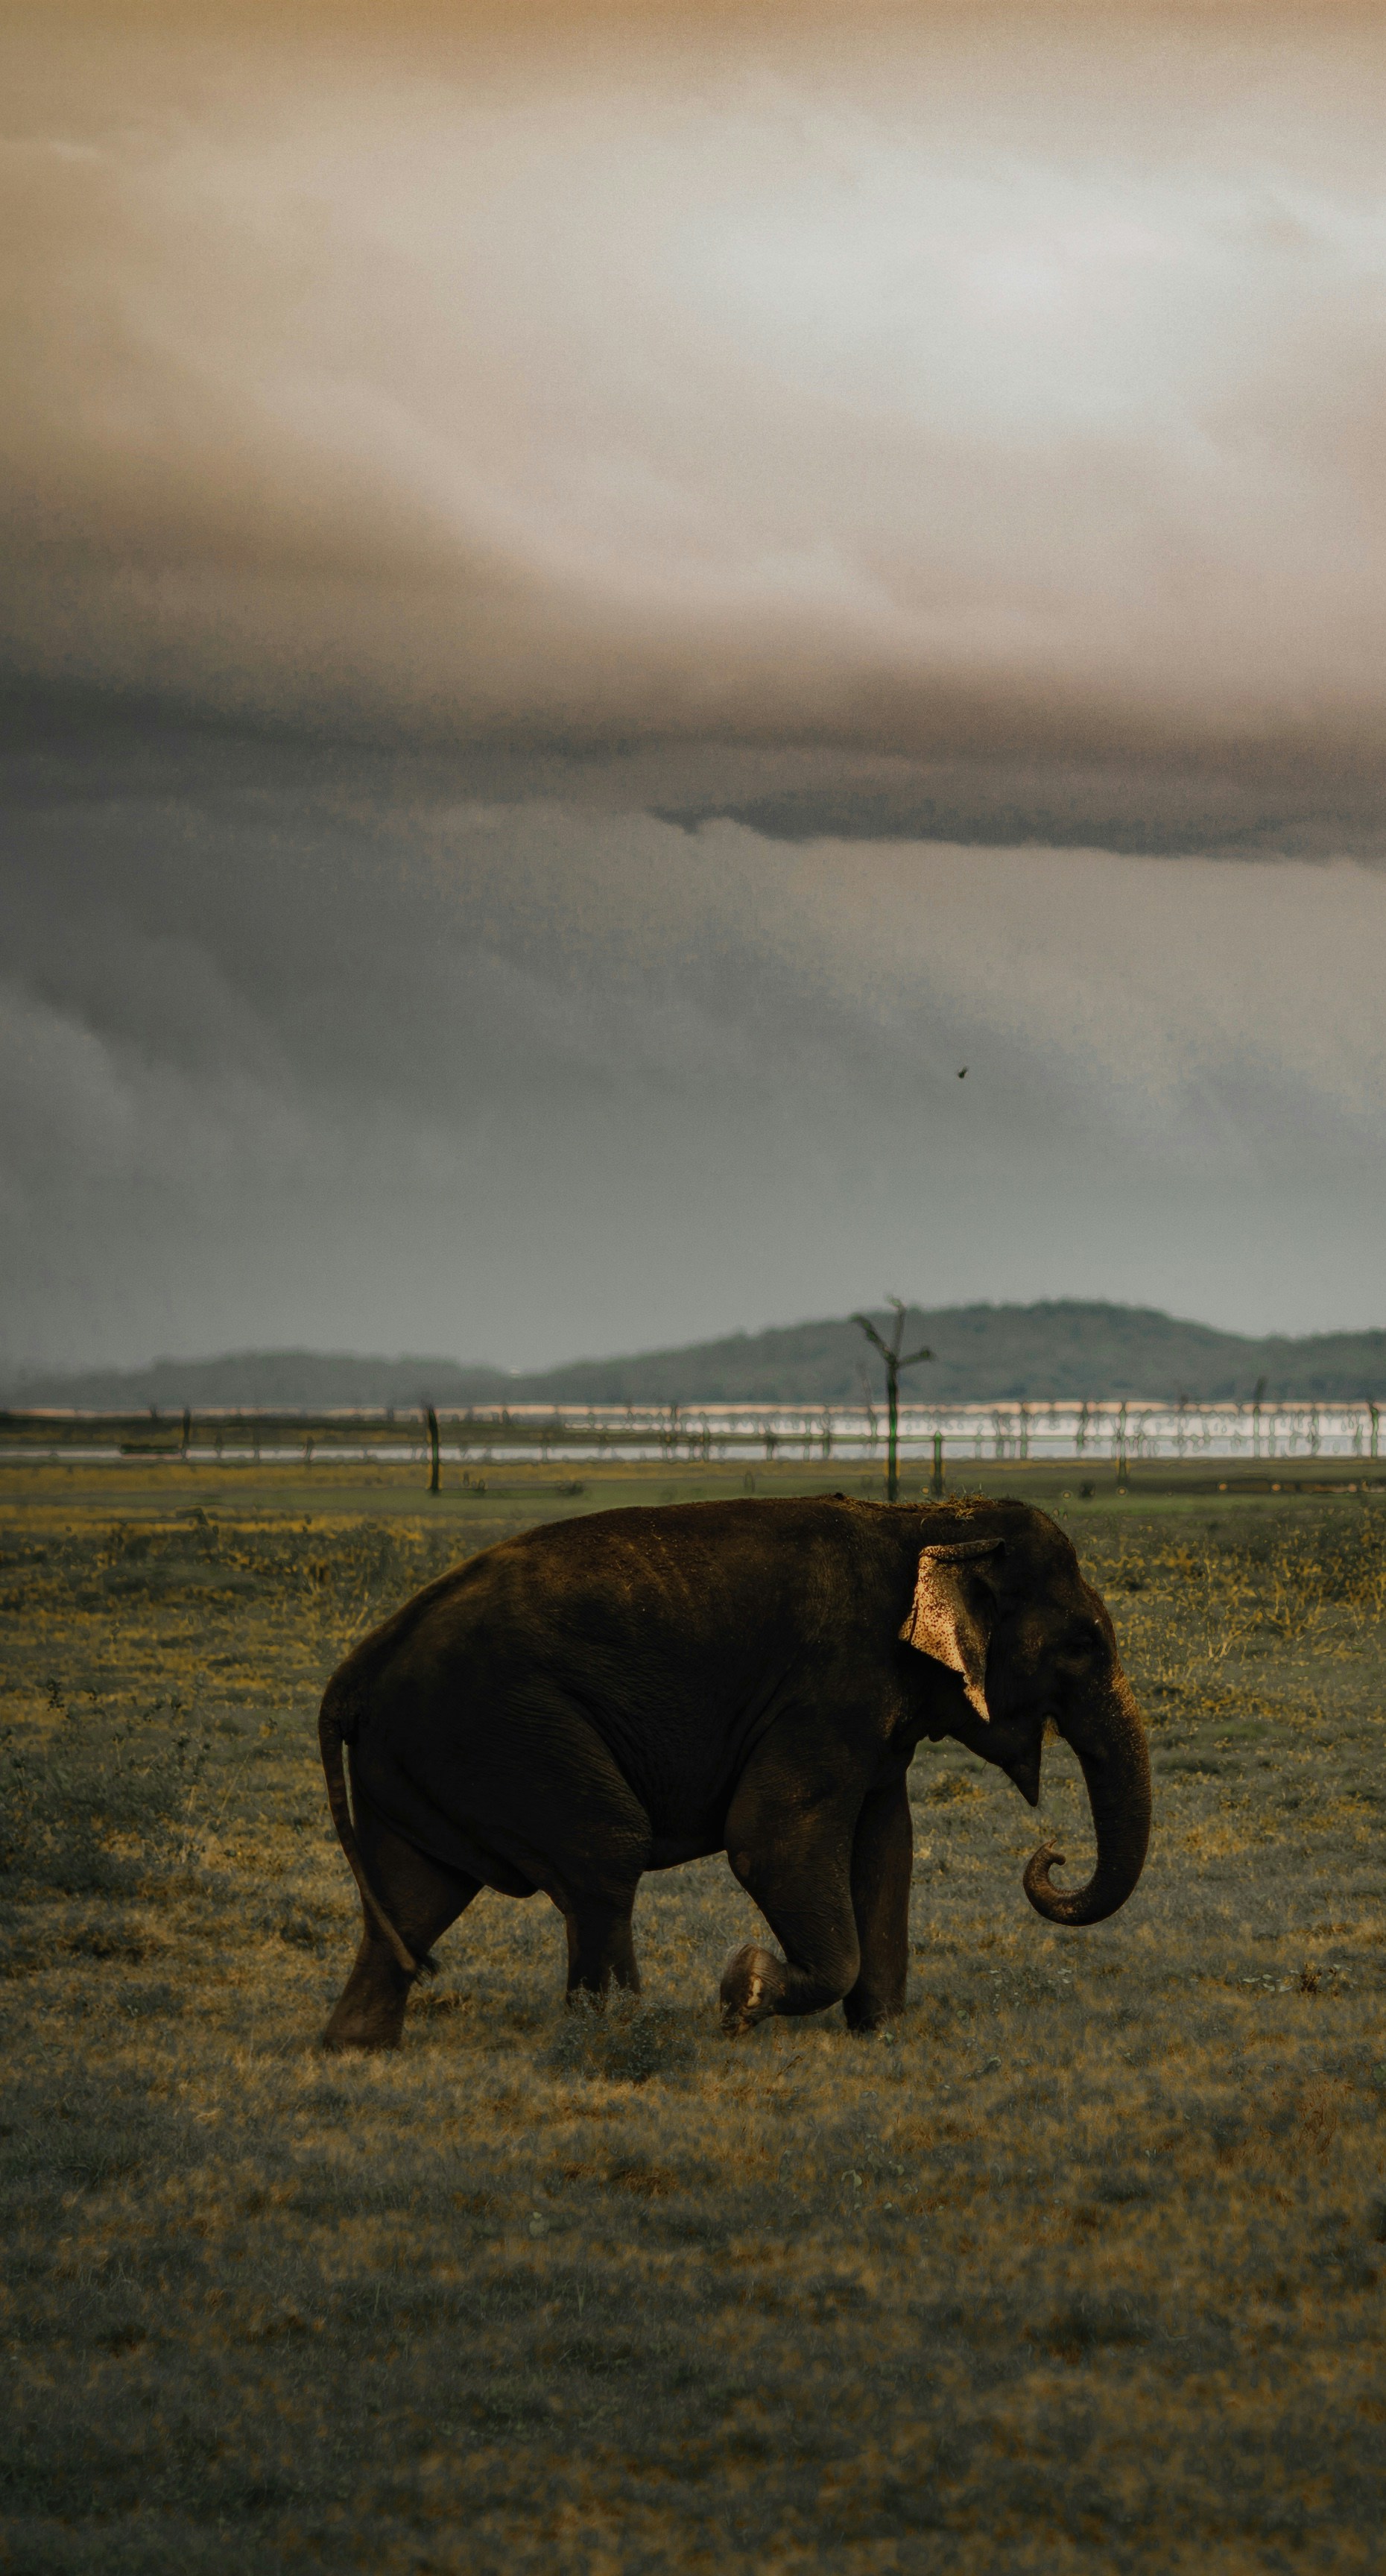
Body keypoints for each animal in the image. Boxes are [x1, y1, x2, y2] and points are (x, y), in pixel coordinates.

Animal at [318, 1494, 1150, 2049]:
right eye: (1082, 1645)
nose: (1053, 1852)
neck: (922, 1520)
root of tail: (354, 1674)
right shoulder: (826, 1691)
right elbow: (770, 1843)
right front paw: (741, 1992)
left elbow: (887, 1846)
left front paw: (880, 2034)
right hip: (503, 1729)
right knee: (605, 1852)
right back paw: (623, 2034)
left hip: (431, 1757)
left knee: (415, 1890)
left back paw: (357, 2047)